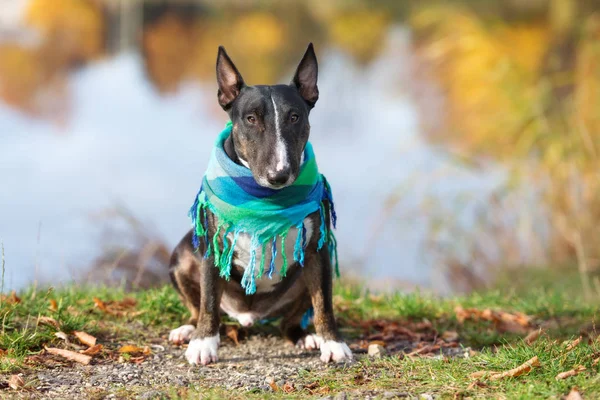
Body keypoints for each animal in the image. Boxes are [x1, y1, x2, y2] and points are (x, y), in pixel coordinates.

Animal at [166, 43, 352, 366]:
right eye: (251, 119)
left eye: (295, 117)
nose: (279, 175)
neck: (265, 199)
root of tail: (248, 316)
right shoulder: (212, 247)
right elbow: (209, 299)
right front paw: (204, 343)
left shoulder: (317, 250)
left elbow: (324, 303)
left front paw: (334, 343)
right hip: (181, 256)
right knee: (197, 307)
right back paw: (188, 330)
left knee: (290, 320)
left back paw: (306, 337)